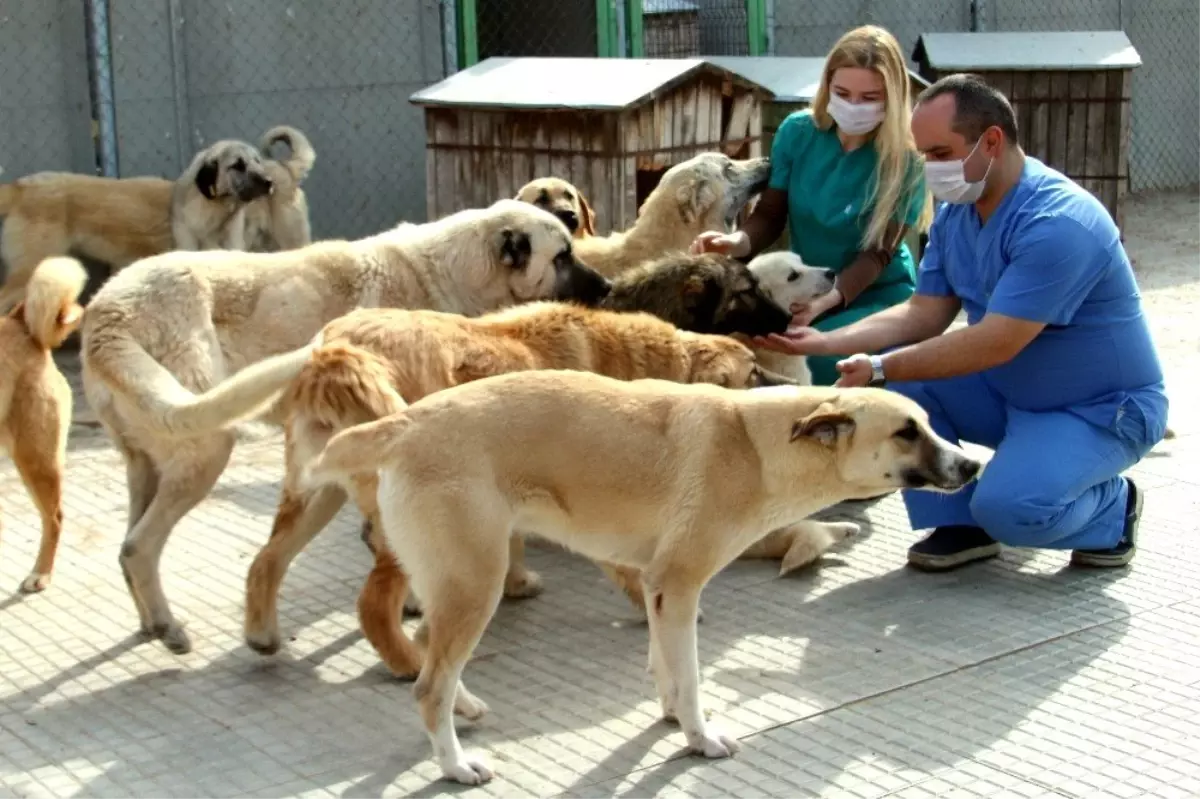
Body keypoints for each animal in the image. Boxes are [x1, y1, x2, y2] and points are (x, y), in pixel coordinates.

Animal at [79, 195, 609, 652]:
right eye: (562, 257)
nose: (607, 288)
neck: (452, 270)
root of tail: (106, 314)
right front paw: (413, 605)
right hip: (206, 447)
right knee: (138, 546)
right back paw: (168, 627)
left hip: (145, 464)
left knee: (127, 546)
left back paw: (150, 623)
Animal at [243, 299, 859, 676]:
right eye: (752, 372)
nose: (801, 392)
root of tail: (335, 348)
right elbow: (630, 570)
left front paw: (515, 582)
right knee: (372, 602)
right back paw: (409, 663)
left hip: (315, 492)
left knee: (265, 559)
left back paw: (262, 635)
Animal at [307, 369, 984, 782]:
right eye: (907, 432)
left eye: (926, 425)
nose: (973, 465)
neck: (757, 445)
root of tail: (406, 423)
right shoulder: (680, 586)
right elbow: (691, 678)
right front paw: (700, 739)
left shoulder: (659, 588)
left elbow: (666, 667)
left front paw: (670, 718)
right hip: (477, 583)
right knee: (428, 687)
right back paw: (454, 766)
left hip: (453, 581)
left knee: (432, 657)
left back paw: (465, 707)